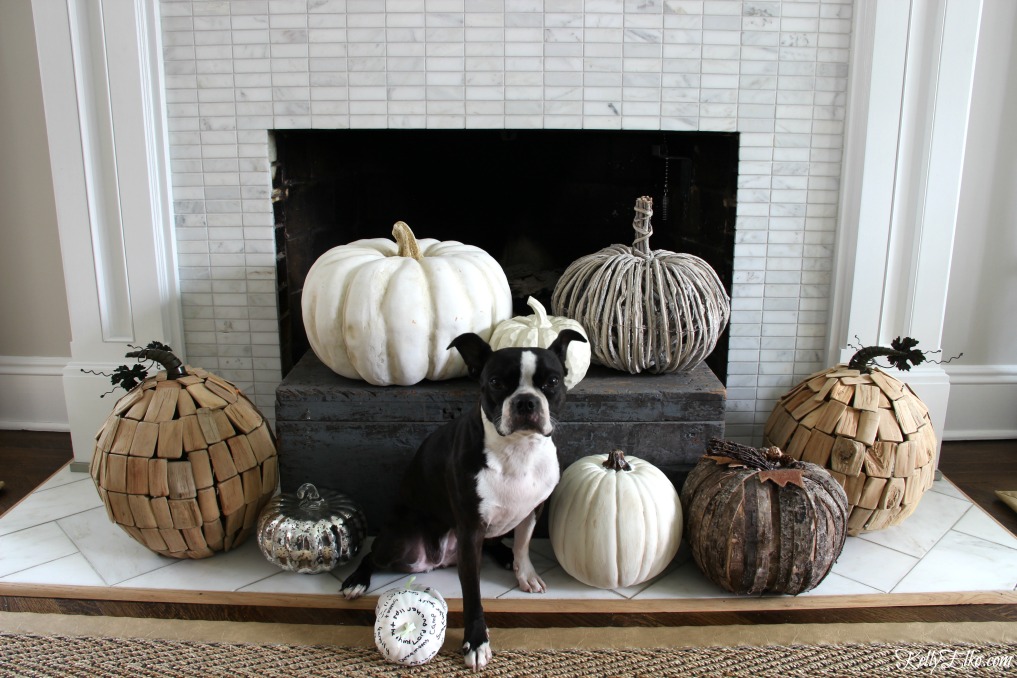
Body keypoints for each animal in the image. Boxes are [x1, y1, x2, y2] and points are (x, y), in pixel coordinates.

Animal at [339, 329, 585, 674]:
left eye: (551, 382)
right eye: (495, 382)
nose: (525, 401)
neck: (518, 449)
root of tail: (440, 559)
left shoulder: (534, 509)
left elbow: (524, 544)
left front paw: (524, 572)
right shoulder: (470, 530)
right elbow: (472, 594)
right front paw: (476, 641)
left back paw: (505, 555)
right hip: (398, 545)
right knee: (372, 555)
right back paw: (357, 581)